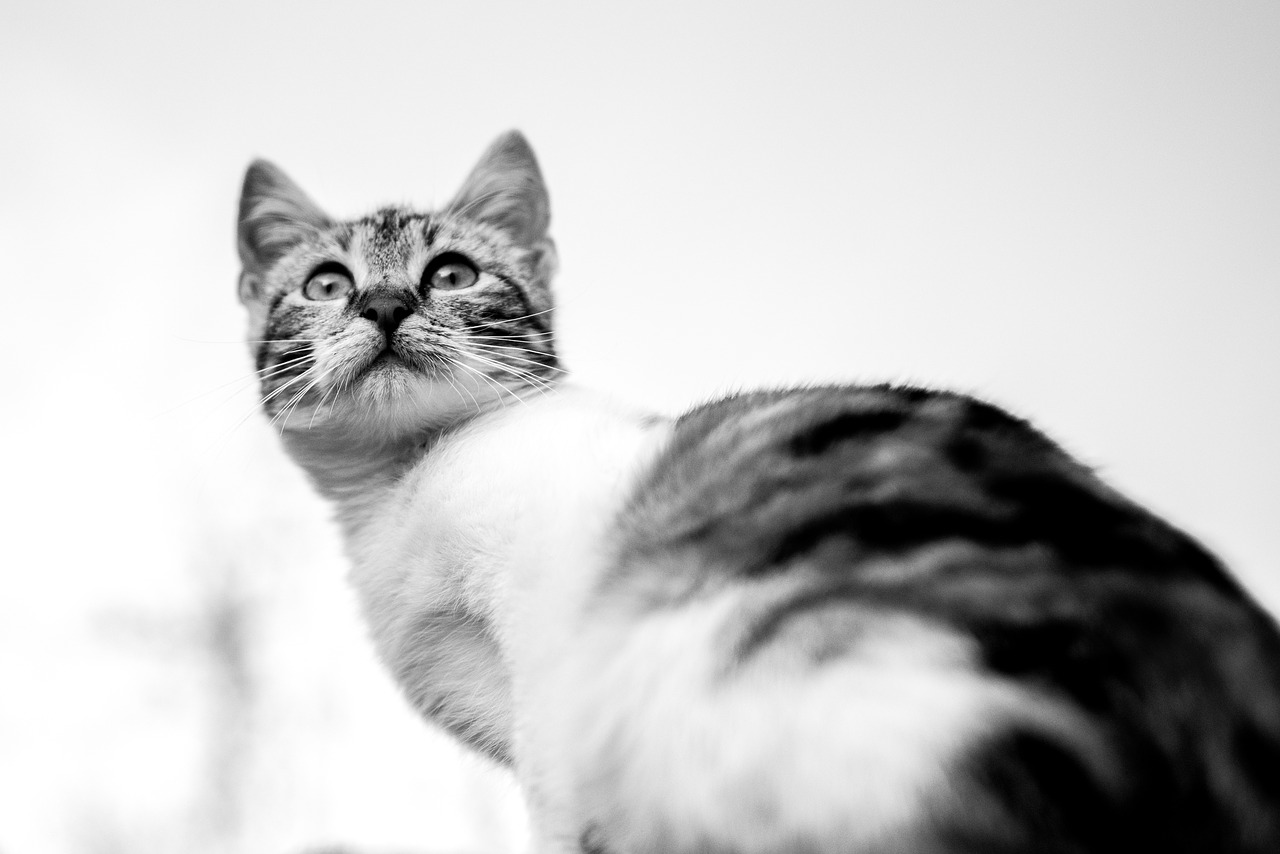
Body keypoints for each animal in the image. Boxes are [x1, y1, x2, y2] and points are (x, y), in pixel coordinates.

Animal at [238, 131, 1280, 854]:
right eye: (325, 284)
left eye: (451, 272)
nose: (384, 304)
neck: (401, 485)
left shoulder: (549, 671)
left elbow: (556, 799)